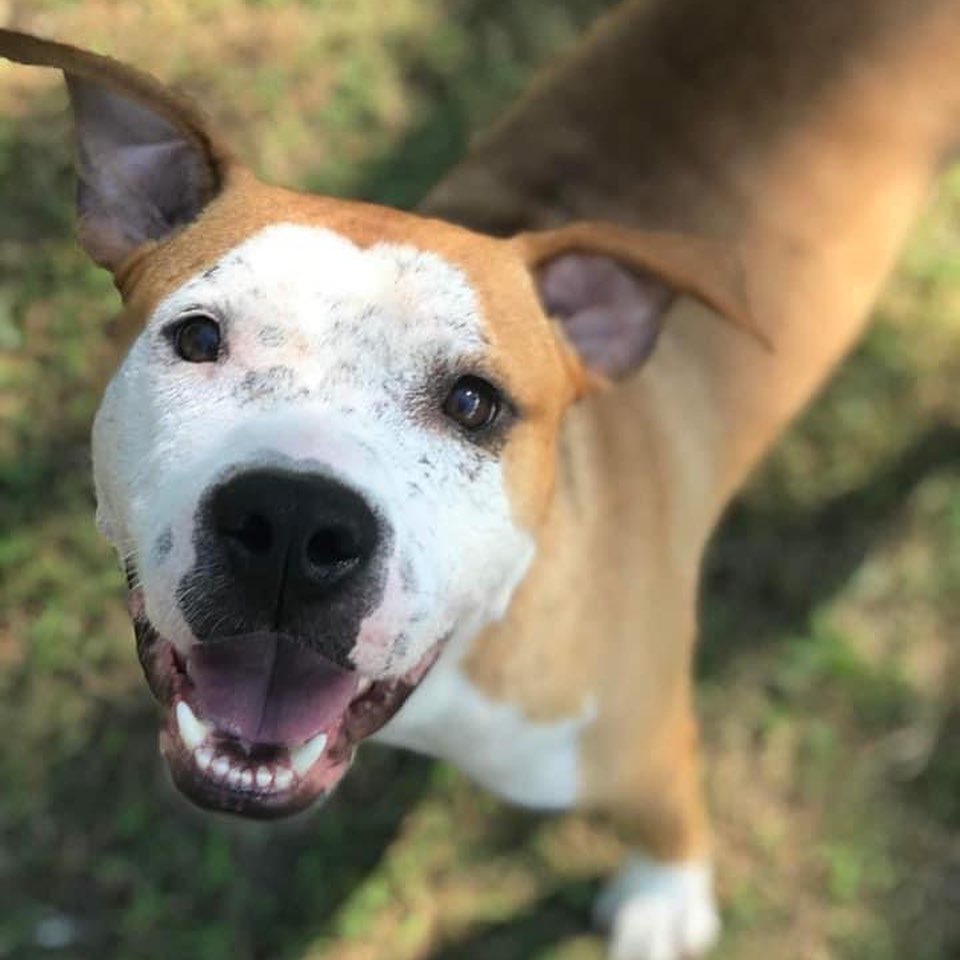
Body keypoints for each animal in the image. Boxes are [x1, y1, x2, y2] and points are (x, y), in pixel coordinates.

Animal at [1, 1, 960, 960]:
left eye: (473, 401)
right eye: (198, 338)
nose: (294, 524)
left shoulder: (644, 743)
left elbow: (668, 819)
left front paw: (665, 900)